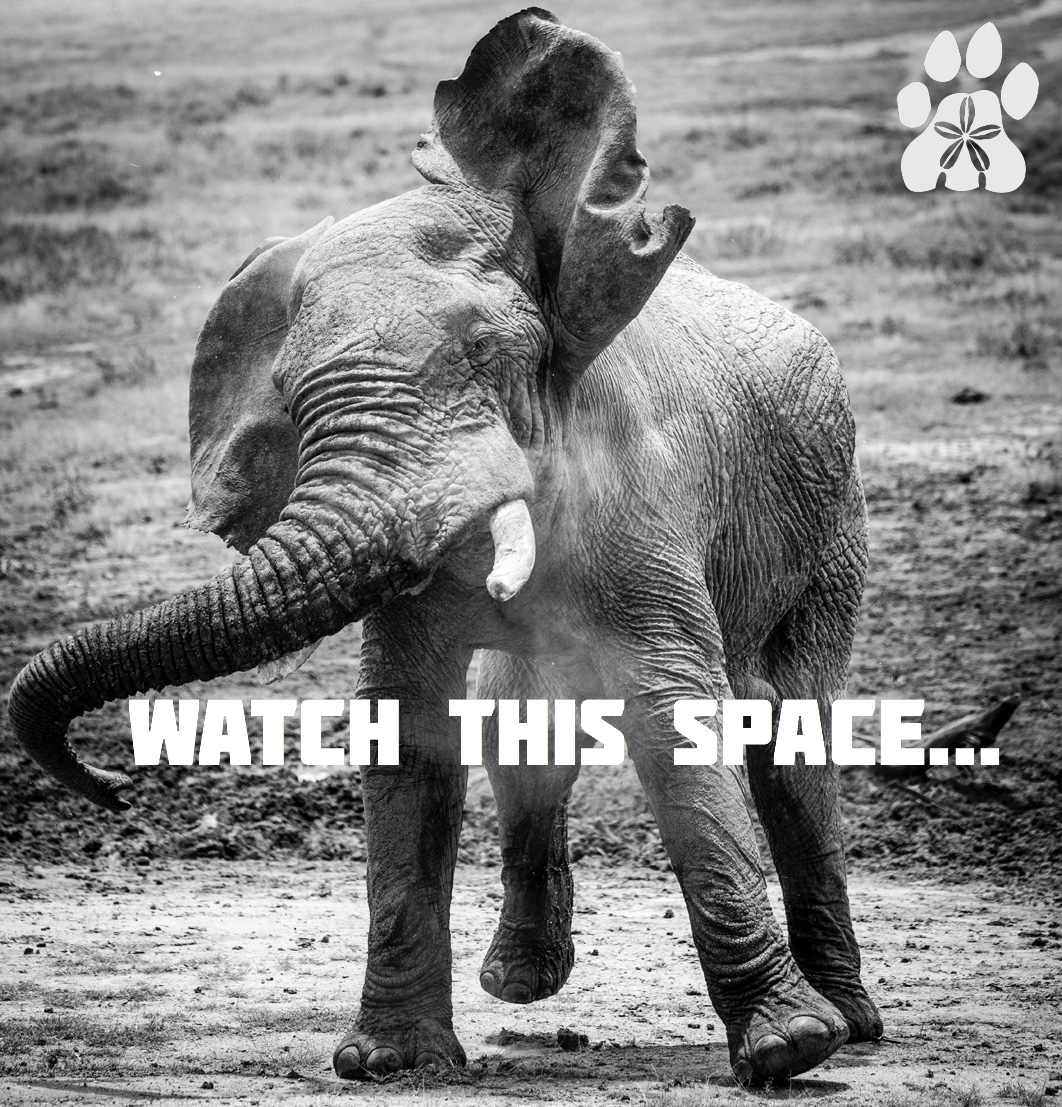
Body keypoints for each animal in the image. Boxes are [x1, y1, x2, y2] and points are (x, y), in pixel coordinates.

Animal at [7, 9, 883, 1085]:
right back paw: (522, 987)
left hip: (833, 522)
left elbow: (673, 713)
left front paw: (789, 1051)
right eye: (291, 399)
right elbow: (410, 727)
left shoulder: (645, 496)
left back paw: (852, 1025)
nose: (113, 784)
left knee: (794, 749)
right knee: (523, 730)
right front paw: (388, 1061)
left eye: (486, 358)